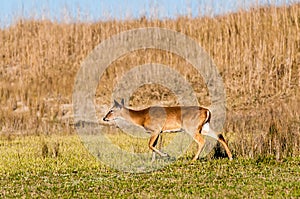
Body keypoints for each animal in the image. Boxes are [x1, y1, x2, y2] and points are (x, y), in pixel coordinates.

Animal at [102, 99, 233, 162]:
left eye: (111, 110)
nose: (104, 118)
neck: (142, 117)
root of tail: (207, 111)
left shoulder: (156, 129)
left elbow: (150, 145)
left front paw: (166, 155)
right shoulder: (158, 132)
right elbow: (153, 146)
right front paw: (153, 162)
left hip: (192, 127)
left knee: (202, 141)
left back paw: (193, 159)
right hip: (204, 127)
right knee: (220, 135)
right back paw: (231, 157)